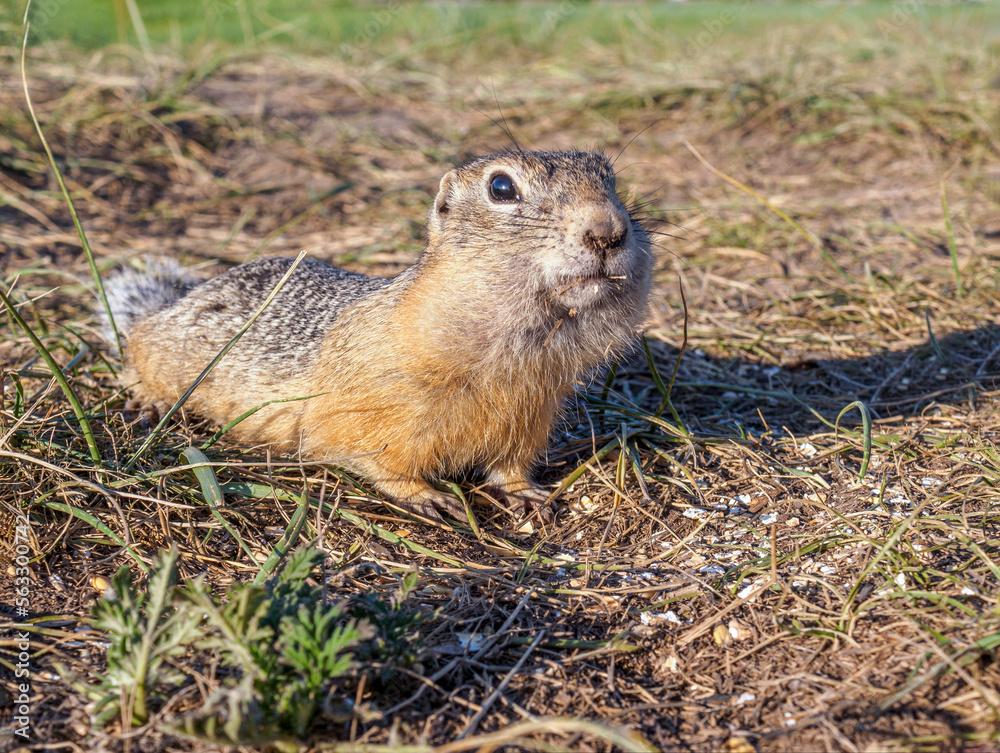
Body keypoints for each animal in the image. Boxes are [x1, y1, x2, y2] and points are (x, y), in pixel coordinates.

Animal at [105, 149, 656, 520]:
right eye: (501, 188)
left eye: (610, 179)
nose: (607, 231)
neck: (520, 348)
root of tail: (179, 299)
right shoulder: (373, 408)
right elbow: (376, 457)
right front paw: (427, 496)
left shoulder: (532, 413)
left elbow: (512, 464)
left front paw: (527, 493)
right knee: (135, 347)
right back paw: (148, 398)